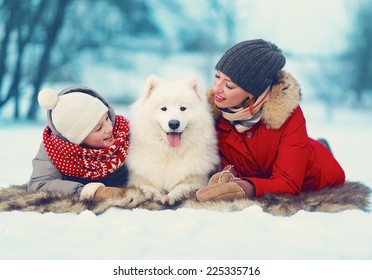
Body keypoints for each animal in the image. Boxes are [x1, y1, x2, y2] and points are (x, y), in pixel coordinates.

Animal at [127, 75, 221, 205]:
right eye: (163, 108)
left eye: (183, 108)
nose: (174, 123)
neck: (171, 152)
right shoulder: (137, 177)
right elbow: (144, 185)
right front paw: (153, 194)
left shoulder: (197, 178)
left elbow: (182, 186)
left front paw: (170, 197)